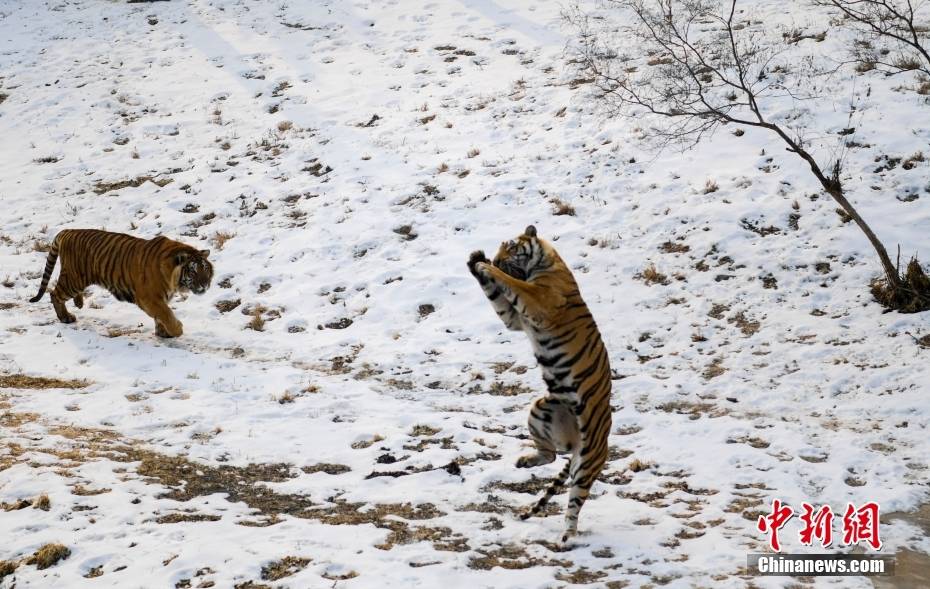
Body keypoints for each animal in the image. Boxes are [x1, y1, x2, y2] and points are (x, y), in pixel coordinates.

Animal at [29, 230, 214, 338]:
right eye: (193, 272)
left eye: (205, 269)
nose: (205, 285)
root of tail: (68, 230)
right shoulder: (149, 298)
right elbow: (166, 314)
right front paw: (177, 330)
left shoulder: (159, 299)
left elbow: (161, 316)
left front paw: (163, 333)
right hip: (74, 279)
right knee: (54, 293)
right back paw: (66, 317)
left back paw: (78, 302)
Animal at [468, 226, 612, 544]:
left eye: (510, 247)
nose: (496, 258)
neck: (548, 262)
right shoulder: (515, 318)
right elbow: (496, 295)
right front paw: (475, 260)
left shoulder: (539, 300)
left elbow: (512, 283)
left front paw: (487, 267)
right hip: (542, 408)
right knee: (550, 454)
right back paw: (524, 461)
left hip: (587, 462)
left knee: (574, 501)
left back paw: (566, 538)